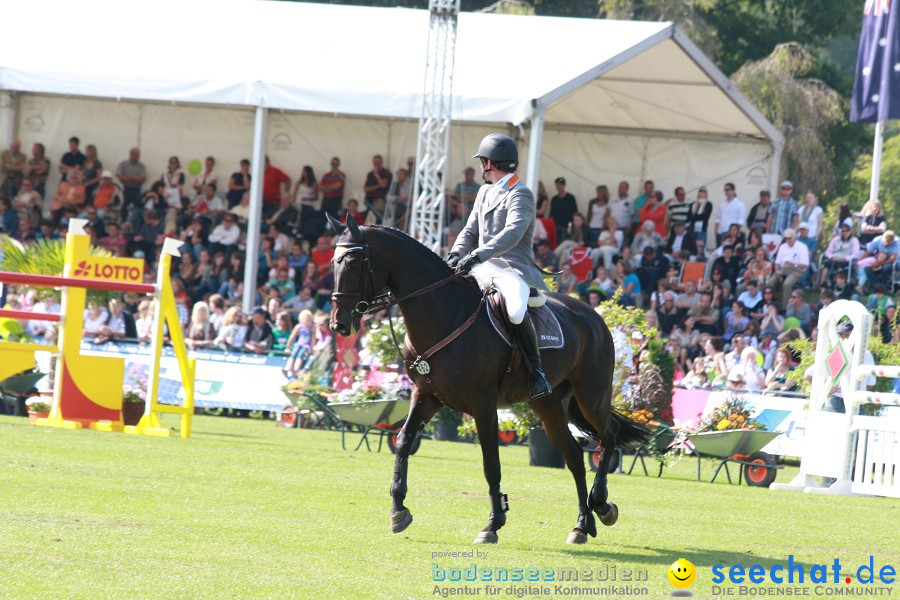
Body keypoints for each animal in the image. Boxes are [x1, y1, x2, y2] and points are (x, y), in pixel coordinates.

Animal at [328, 217, 648, 544]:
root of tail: (593, 315)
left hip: (591, 395)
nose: (338, 324)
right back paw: (582, 525)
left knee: (608, 436)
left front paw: (493, 524)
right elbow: (404, 440)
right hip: (549, 405)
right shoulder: (427, 395)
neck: (446, 312)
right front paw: (398, 510)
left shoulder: (483, 405)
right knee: (573, 456)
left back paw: (602, 504)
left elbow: (490, 464)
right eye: (333, 262)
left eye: (353, 263)